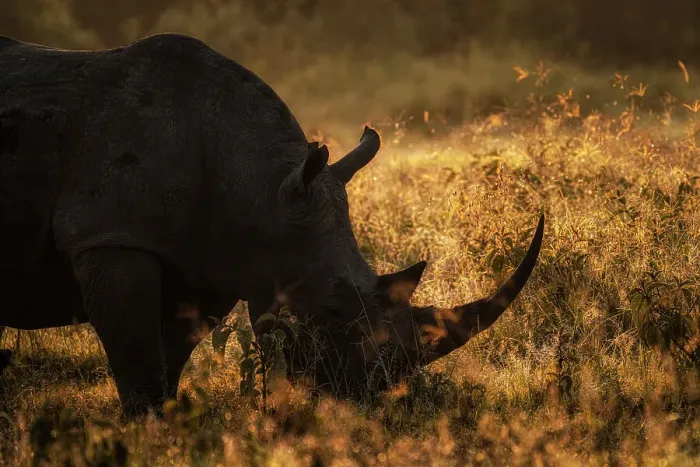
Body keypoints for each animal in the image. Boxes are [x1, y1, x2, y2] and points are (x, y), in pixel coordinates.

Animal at [0, 33, 544, 416]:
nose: (381, 397)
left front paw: (168, 429)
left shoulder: (208, 261)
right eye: (331, 310)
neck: (257, 187)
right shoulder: (110, 237)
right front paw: (145, 433)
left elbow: (170, 357)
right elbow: (138, 362)